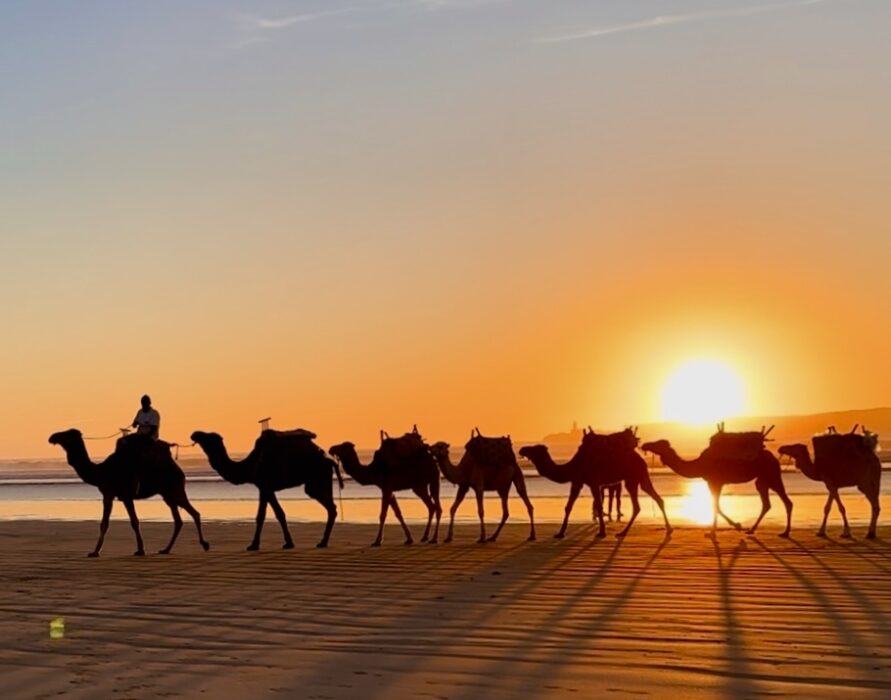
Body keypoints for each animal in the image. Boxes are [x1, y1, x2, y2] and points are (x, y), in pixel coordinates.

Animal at [48, 426, 211, 556]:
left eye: (67, 434)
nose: (52, 437)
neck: (101, 472)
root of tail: (179, 470)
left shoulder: (115, 494)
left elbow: (121, 522)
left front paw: (95, 552)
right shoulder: (118, 496)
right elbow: (126, 522)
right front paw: (139, 549)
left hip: (174, 489)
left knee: (194, 513)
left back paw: (204, 544)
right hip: (167, 494)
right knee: (179, 520)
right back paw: (166, 549)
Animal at [193, 430, 344, 548]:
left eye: (209, 436)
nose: (195, 434)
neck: (250, 466)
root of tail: (330, 460)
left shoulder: (265, 486)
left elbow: (268, 515)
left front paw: (257, 545)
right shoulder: (264, 488)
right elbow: (270, 514)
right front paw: (281, 543)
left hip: (316, 481)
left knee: (331, 507)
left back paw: (323, 542)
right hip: (320, 480)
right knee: (332, 507)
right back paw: (323, 541)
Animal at [640, 438, 796, 536]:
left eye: (657, 443)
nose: (644, 445)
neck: (699, 465)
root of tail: (774, 458)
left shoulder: (715, 482)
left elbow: (716, 505)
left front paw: (718, 529)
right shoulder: (713, 483)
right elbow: (716, 505)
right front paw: (723, 528)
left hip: (772, 475)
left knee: (787, 501)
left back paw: (785, 532)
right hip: (762, 480)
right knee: (767, 503)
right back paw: (752, 530)